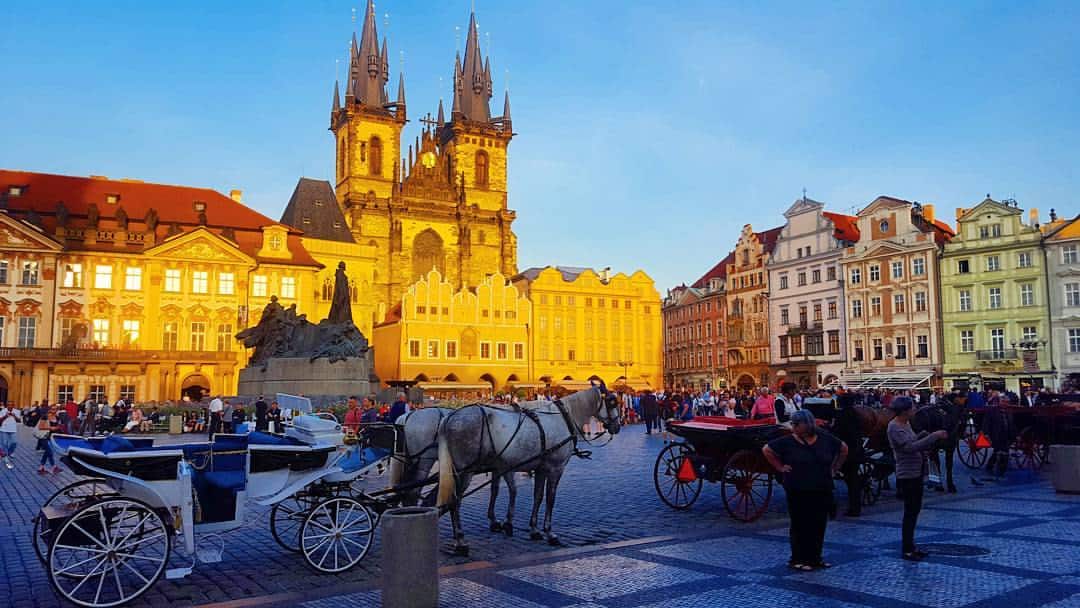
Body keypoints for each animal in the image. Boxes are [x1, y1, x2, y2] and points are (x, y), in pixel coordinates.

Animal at [434, 388, 622, 552]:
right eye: (612, 402)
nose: (617, 426)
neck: (564, 418)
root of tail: (449, 417)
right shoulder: (556, 468)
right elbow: (550, 499)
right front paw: (549, 533)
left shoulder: (540, 469)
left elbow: (537, 497)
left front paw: (534, 530)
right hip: (465, 471)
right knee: (455, 501)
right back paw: (460, 540)